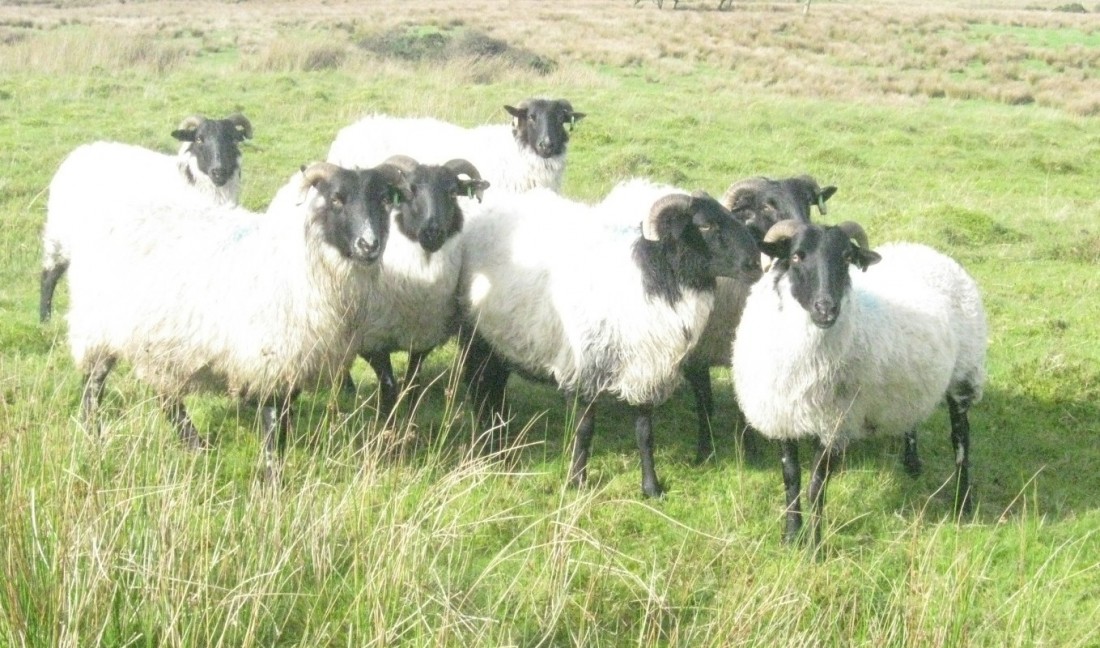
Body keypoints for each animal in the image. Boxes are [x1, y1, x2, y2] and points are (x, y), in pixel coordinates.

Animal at [39, 113, 253, 323]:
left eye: (233, 139)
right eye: (199, 139)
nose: (219, 171)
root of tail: (76, 155)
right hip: (60, 232)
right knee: (50, 273)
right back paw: (45, 319)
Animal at [66, 161, 406, 475]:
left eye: (383, 200)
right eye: (336, 199)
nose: (369, 245)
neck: (296, 261)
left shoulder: (294, 359)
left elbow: (284, 414)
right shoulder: (268, 356)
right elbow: (272, 420)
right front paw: (271, 476)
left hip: (159, 343)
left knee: (165, 396)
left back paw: (196, 445)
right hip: (98, 328)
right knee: (94, 385)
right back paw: (94, 434)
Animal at [345, 155, 490, 417]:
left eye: (453, 192)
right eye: (410, 191)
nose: (432, 232)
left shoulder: (423, 338)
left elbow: (413, 384)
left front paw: (410, 419)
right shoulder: (372, 341)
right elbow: (389, 387)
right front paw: (387, 424)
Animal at [458, 188, 762, 497]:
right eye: (705, 226)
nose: (755, 265)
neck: (650, 284)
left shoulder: (646, 373)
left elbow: (645, 433)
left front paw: (651, 487)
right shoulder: (582, 371)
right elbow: (584, 430)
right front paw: (577, 482)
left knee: (493, 386)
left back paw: (499, 438)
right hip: (477, 337)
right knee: (478, 385)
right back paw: (489, 445)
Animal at [731, 219, 987, 545]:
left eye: (846, 257)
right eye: (797, 256)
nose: (826, 309)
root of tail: (927, 250)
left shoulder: (834, 423)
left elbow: (816, 486)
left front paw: (814, 545)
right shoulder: (782, 415)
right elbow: (791, 479)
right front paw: (790, 535)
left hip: (964, 373)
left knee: (961, 438)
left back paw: (963, 502)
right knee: (912, 416)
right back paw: (912, 464)